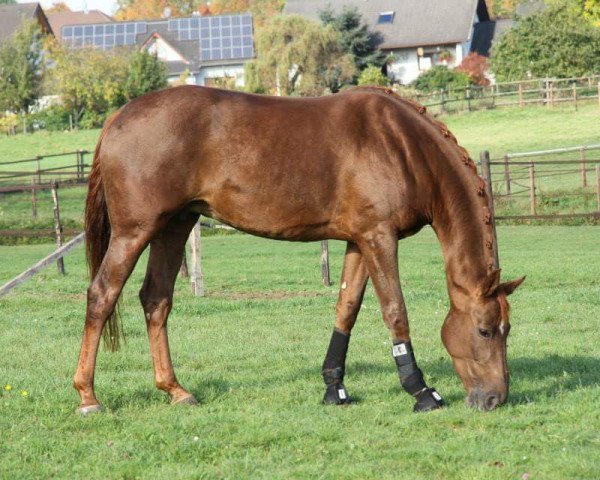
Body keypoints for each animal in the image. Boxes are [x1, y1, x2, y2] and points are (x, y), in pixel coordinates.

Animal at [75, 85, 524, 412]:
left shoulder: (358, 240)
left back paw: (175, 389)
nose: (495, 398)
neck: (401, 145)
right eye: (484, 330)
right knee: (102, 295)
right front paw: (420, 390)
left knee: (156, 300)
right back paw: (88, 395)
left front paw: (334, 388)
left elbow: (346, 309)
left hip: (174, 227)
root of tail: (117, 118)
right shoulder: (379, 237)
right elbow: (395, 311)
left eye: (508, 329)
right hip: (134, 231)